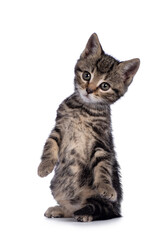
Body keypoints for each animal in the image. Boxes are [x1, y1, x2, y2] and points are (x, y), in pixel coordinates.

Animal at [37, 32, 140, 222]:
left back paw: (86, 214)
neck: (84, 109)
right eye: (86, 75)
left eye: (105, 86)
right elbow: (50, 145)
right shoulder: (59, 128)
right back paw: (60, 209)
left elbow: (103, 167)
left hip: (105, 203)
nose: (89, 90)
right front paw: (44, 166)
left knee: (101, 210)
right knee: (72, 209)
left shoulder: (101, 141)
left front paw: (106, 187)